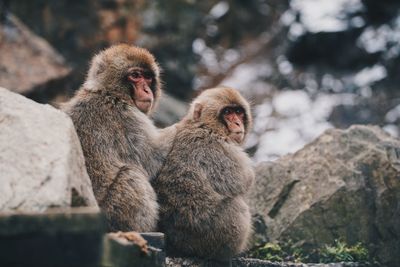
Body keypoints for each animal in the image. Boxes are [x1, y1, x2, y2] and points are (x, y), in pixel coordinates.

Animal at [63, 44, 169, 232]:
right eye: (136, 75)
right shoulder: (128, 117)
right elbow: (151, 160)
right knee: (131, 174)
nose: (147, 90)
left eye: (148, 77)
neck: (107, 92)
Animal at [152, 87, 255, 262]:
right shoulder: (220, 148)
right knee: (237, 205)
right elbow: (244, 179)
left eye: (238, 112)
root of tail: (178, 246)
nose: (237, 123)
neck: (202, 125)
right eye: (227, 112)